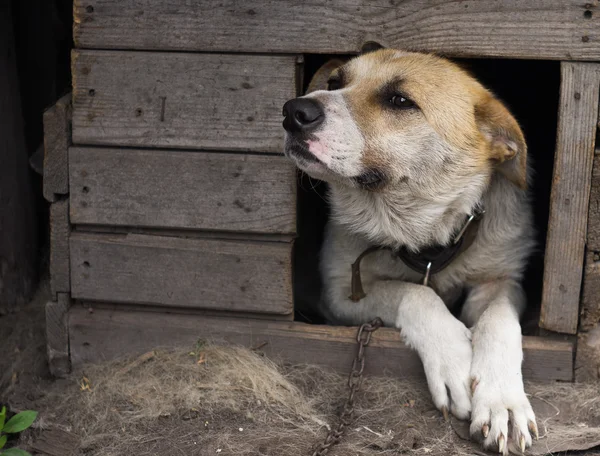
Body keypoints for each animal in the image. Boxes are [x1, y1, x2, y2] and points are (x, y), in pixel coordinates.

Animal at [284, 48, 536, 454]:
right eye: (336, 82)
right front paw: (452, 358)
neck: (422, 232)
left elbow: (498, 322)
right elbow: (415, 294)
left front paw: (502, 401)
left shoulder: (501, 281)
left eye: (400, 101)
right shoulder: (340, 294)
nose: (293, 111)